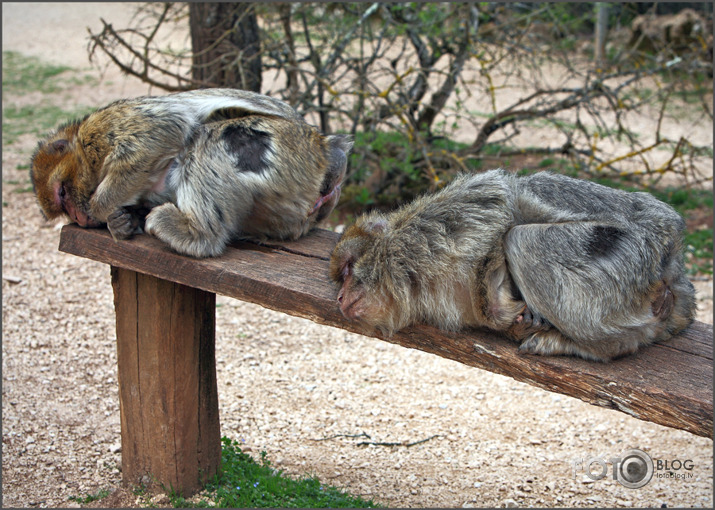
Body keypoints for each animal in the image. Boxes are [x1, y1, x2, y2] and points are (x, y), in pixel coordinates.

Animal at [30, 87, 352, 258]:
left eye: (62, 193)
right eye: (64, 210)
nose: (78, 218)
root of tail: (325, 148)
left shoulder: (102, 128)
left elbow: (166, 129)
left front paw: (100, 208)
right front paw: (120, 223)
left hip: (290, 154)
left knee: (210, 141)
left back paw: (196, 234)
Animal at [332, 169, 696, 360]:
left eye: (348, 272)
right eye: (341, 279)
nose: (339, 297)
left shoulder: (437, 226)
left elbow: (500, 209)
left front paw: (494, 303)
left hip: (630, 257)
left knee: (522, 240)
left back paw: (582, 345)